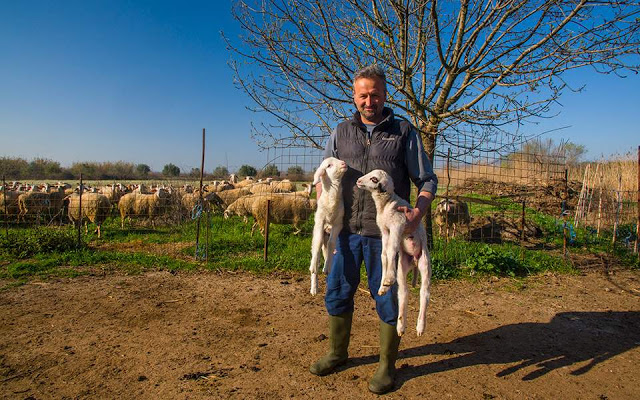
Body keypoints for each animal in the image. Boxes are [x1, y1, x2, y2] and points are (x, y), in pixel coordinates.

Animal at [308, 158, 348, 296]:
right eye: (329, 165)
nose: (344, 163)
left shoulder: (338, 224)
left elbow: (331, 243)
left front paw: (328, 267)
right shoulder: (320, 221)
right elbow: (318, 242)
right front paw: (314, 266)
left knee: (326, 248)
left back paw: (326, 267)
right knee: (317, 248)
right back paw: (314, 287)